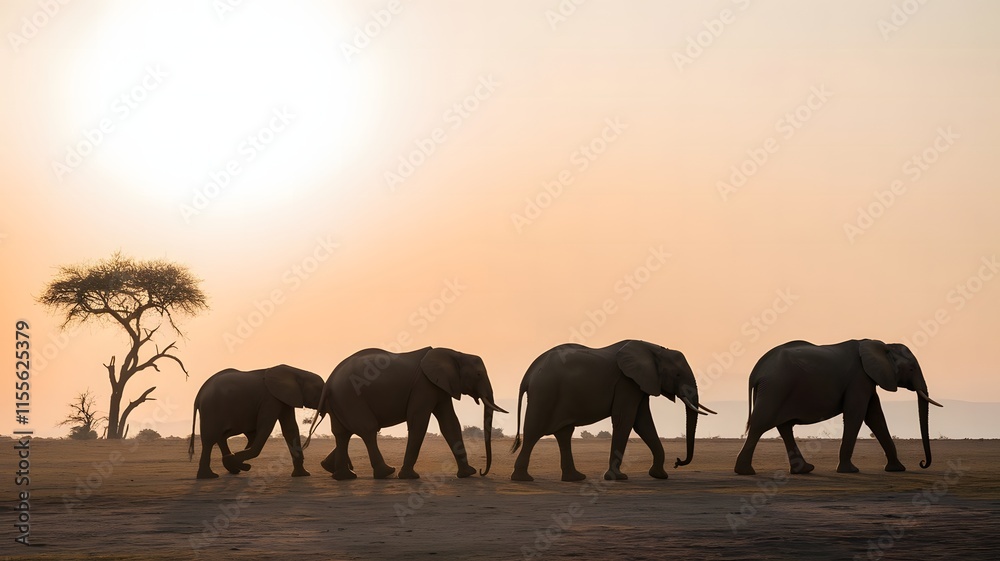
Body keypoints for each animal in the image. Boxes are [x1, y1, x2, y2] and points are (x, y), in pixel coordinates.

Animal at [189, 365, 325, 479]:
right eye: (320, 390)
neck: (296, 372)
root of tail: (199, 395)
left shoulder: (285, 399)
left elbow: (290, 429)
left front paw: (302, 475)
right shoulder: (271, 399)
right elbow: (265, 429)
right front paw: (237, 461)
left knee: (223, 436)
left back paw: (233, 469)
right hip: (212, 409)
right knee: (210, 440)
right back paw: (209, 476)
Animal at [307, 347, 507, 480]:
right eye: (479, 375)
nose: (482, 471)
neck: (455, 353)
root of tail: (329, 381)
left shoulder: (439, 386)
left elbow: (450, 424)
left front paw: (467, 474)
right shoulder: (424, 386)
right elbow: (418, 422)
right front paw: (409, 476)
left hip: (340, 400)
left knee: (342, 433)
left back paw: (343, 476)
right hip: (350, 396)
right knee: (368, 429)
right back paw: (386, 473)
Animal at [510, 340, 715, 482]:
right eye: (678, 375)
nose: (678, 462)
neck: (654, 349)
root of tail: (529, 372)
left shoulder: (639, 384)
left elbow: (643, 423)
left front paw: (659, 475)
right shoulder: (627, 382)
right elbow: (625, 420)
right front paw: (618, 478)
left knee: (564, 433)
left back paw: (575, 478)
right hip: (545, 392)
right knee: (534, 431)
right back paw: (523, 479)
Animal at [734, 339, 944, 475]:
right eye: (911, 369)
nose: (922, 463)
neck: (882, 345)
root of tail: (756, 371)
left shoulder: (867, 380)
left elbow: (875, 417)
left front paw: (897, 469)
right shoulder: (859, 379)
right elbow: (856, 414)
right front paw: (850, 471)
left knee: (783, 427)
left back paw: (804, 470)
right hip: (775, 387)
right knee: (761, 424)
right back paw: (745, 472)